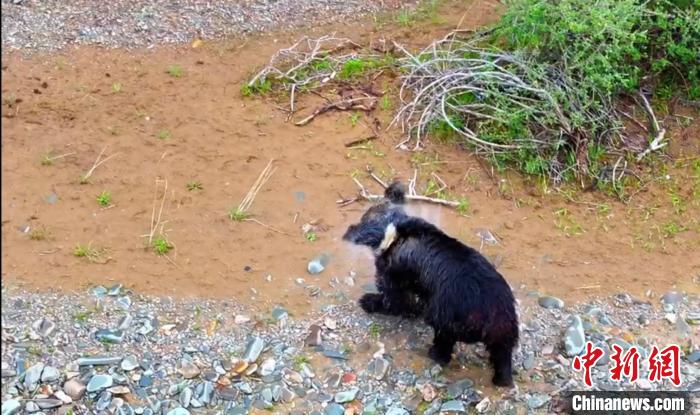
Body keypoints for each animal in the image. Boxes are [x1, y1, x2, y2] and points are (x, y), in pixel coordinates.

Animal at [344, 182, 520, 386]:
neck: (395, 231)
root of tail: (494, 314)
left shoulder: (393, 281)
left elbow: (394, 301)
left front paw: (369, 302)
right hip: (503, 338)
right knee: (502, 359)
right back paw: (502, 379)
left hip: (445, 320)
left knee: (444, 346)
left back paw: (433, 354)